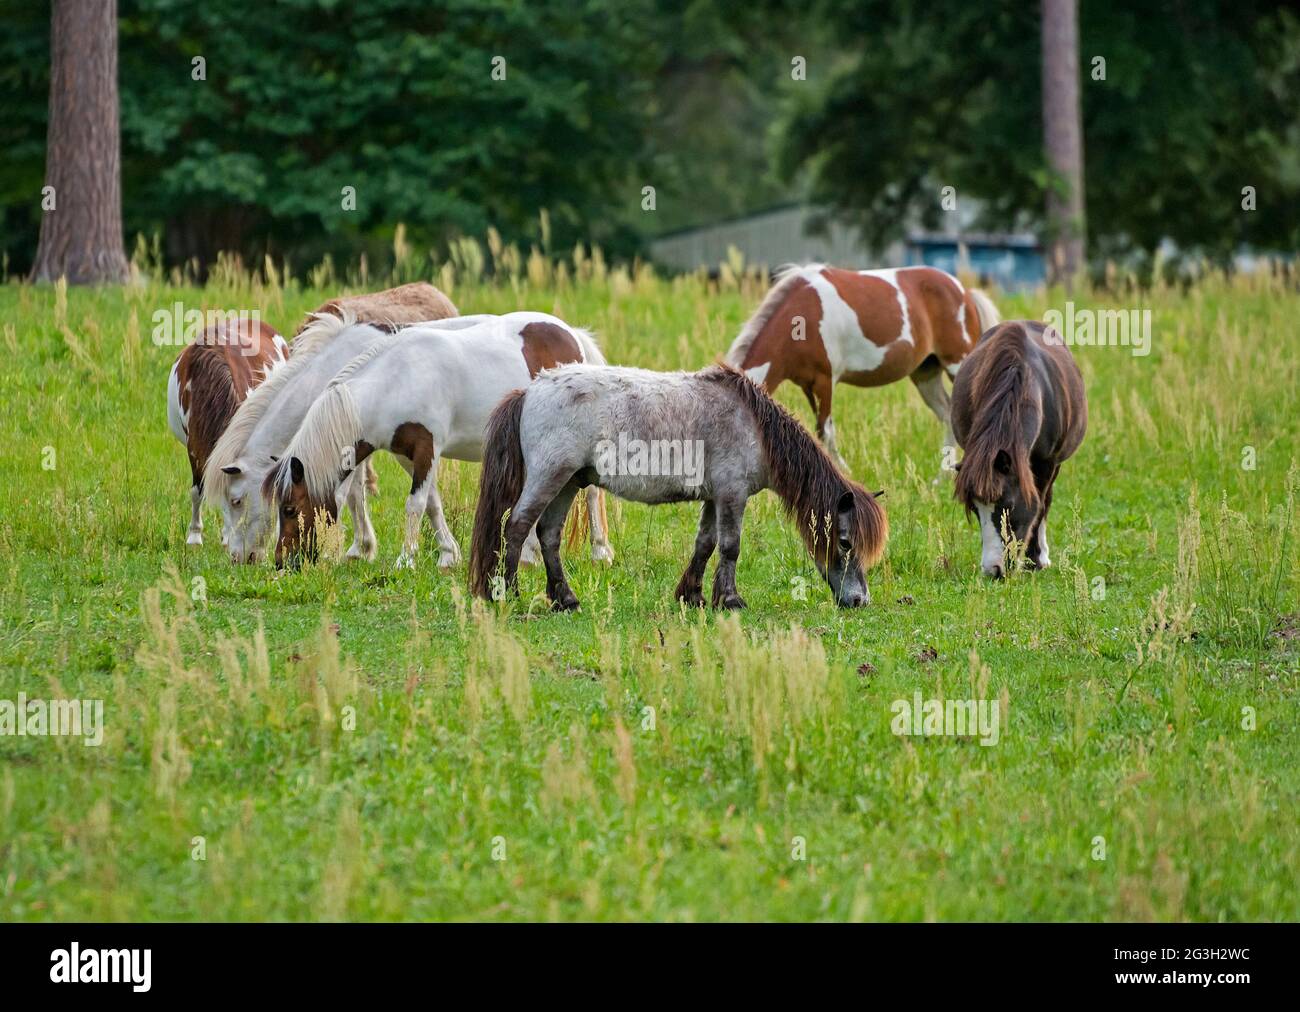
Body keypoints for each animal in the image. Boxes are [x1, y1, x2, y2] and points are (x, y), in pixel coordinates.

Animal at [267, 314, 613, 567]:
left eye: (289, 509)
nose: (282, 561)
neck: (394, 382)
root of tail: (571, 335)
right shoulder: (408, 454)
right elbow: (432, 502)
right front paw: (448, 555)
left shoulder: (427, 446)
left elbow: (415, 505)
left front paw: (406, 560)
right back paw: (529, 554)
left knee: (592, 493)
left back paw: (599, 551)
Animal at [467, 361, 883, 606]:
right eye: (845, 542)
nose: (859, 600)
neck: (753, 426)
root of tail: (529, 391)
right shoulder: (732, 495)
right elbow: (730, 546)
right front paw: (730, 600)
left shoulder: (716, 497)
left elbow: (706, 544)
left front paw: (693, 595)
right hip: (549, 476)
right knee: (518, 527)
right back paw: (508, 594)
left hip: (568, 482)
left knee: (548, 535)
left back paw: (565, 599)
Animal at [728, 262, 998, 470]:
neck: (801, 318)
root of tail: (965, 292)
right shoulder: (806, 386)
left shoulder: (825, 381)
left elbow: (826, 432)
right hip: (926, 374)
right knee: (947, 416)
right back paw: (941, 478)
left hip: (957, 364)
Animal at [951, 319, 1092, 580]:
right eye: (975, 509)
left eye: (1008, 506)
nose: (992, 570)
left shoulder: (1046, 463)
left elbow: (1039, 505)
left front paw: (1034, 560)